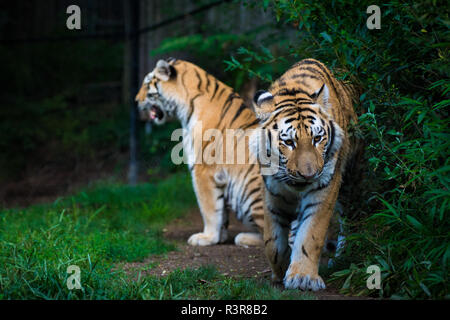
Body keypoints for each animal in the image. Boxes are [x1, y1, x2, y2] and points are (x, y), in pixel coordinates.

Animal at [135, 58, 266, 248]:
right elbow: (221, 211)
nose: (136, 101)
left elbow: (209, 208)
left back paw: (243, 237)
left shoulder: (203, 170)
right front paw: (220, 237)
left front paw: (206, 237)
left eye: (147, 85)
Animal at [250, 58, 362, 290]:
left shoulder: (324, 189)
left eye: (317, 138)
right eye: (288, 142)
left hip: (351, 180)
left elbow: (310, 234)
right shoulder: (272, 192)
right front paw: (280, 269)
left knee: (348, 220)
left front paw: (303, 277)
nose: (309, 175)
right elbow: (272, 241)